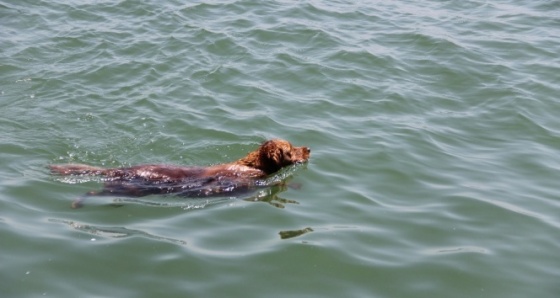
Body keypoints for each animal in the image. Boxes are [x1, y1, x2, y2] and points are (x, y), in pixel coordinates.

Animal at [49, 139, 310, 207]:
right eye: (290, 149)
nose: (308, 148)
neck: (252, 164)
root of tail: (120, 169)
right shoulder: (248, 183)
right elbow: (275, 184)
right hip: (125, 190)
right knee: (92, 193)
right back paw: (76, 203)